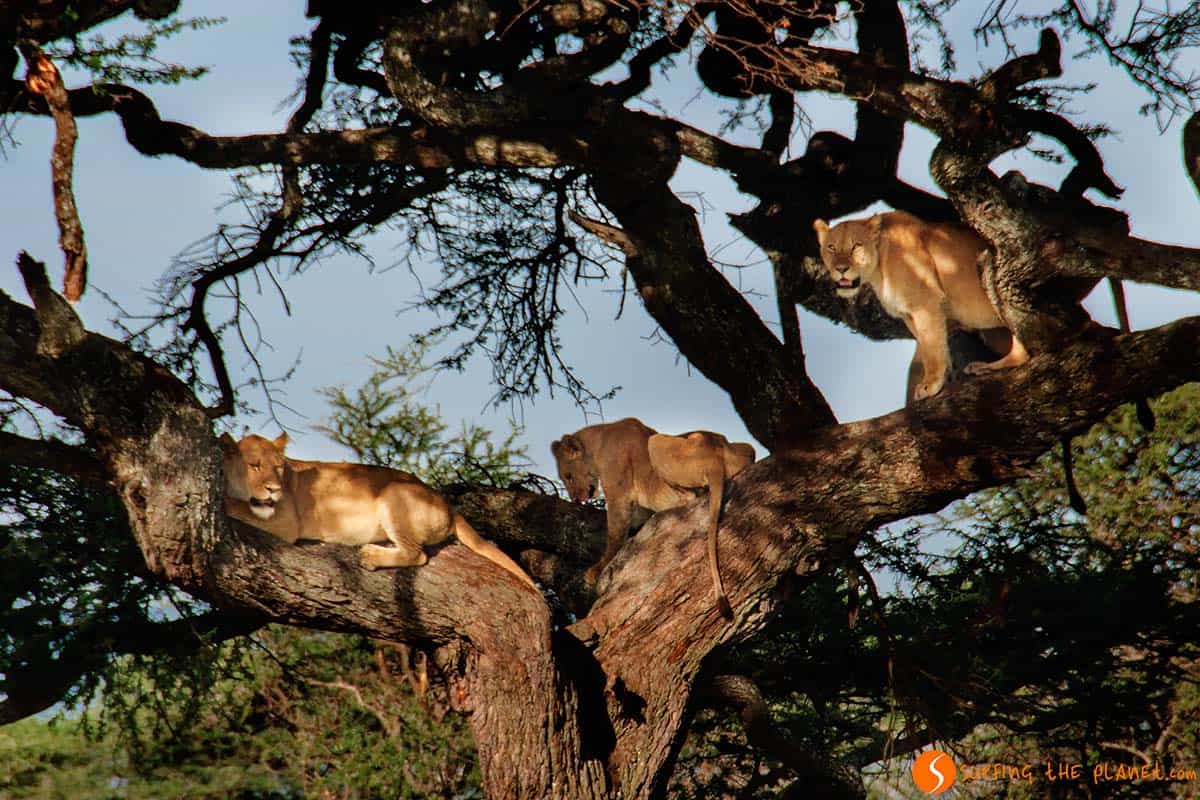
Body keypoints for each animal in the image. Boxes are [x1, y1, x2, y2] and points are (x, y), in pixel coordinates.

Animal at [219, 432, 537, 590]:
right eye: (255, 465)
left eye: (278, 467)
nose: (274, 489)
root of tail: (448, 504)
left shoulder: (285, 522)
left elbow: (235, 505)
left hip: (394, 493)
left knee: (417, 554)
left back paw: (371, 556)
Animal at [551, 418, 755, 616]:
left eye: (568, 476)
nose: (575, 499)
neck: (598, 442)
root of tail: (715, 458)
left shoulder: (619, 493)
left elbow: (615, 534)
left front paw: (596, 570)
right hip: (746, 448)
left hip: (656, 442)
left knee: (691, 496)